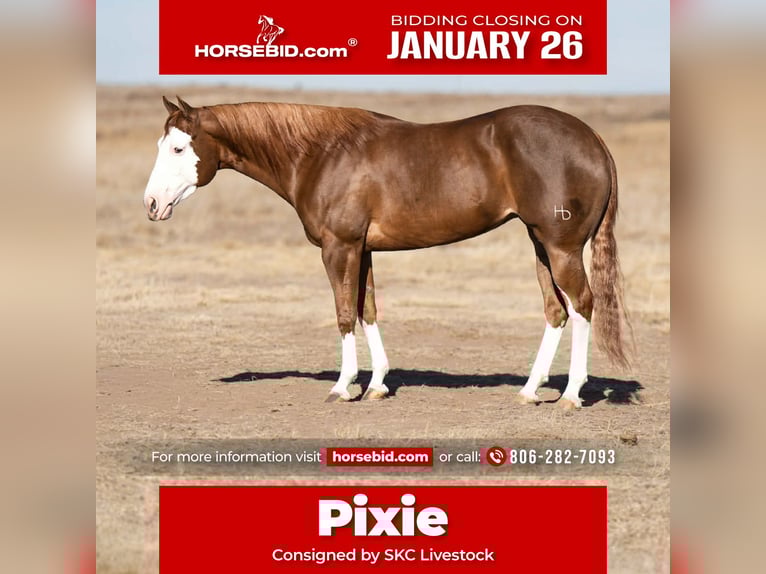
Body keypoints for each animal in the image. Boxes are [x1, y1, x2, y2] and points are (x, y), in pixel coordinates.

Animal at [143, 96, 632, 409]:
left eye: (179, 147)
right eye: (163, 145)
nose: (151, 204)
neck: (321, 154)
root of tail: (592, 139)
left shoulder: (339, 248)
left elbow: (344, 314)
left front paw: (343, 387)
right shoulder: (363, 250)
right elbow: (368, 310)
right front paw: (376, 385)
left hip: (561, 248)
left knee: (582, 306)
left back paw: (570, 395)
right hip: (540, 245)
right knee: (556, 311)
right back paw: (530, 390)